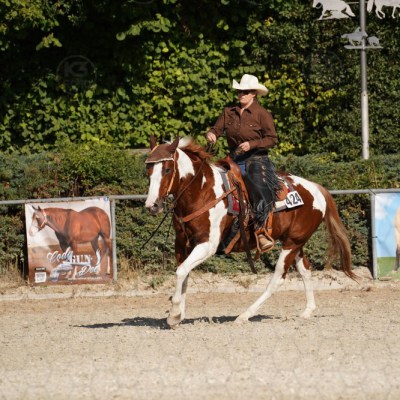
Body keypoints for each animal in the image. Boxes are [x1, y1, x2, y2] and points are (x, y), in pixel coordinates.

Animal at [144, 136, 357, 328]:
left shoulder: (207, 245)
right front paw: (179, 314)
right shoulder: (182, 242)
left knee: (277, 279)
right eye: (148, 171)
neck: (203, 191)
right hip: (296, 242)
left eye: (167, 169)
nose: (151, 205)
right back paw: (307, 311)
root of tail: (317, 188)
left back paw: (245, 315)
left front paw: (174, 314)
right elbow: (185, 273)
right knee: (305, 269)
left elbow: (181, 271)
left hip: (292, 244)